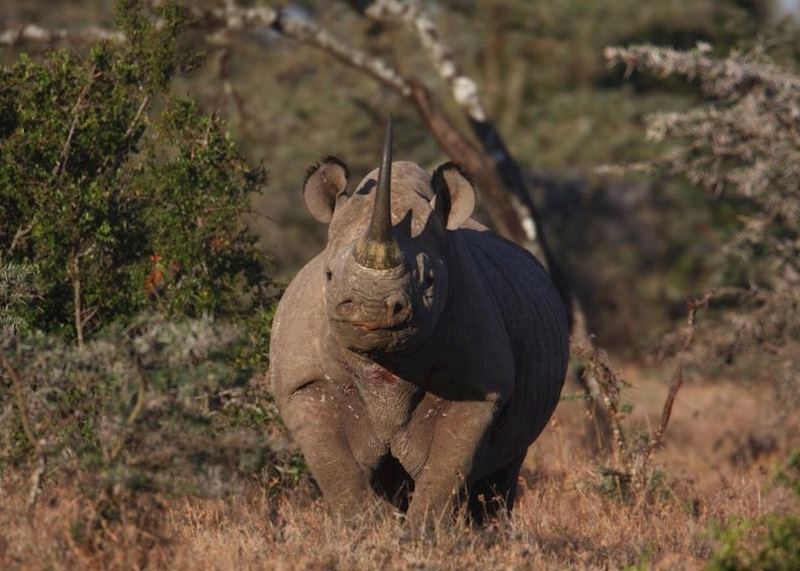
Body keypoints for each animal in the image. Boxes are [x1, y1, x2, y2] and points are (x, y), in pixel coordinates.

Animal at [269, 117, 569, 531]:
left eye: (429, 281)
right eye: (328, 276)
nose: (371, 308)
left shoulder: (479, 387)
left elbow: (447, 468)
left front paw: (421, 534)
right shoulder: (305, 382)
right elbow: (335, 466)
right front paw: (368, 529)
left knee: (505, 465)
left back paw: (489, 530)